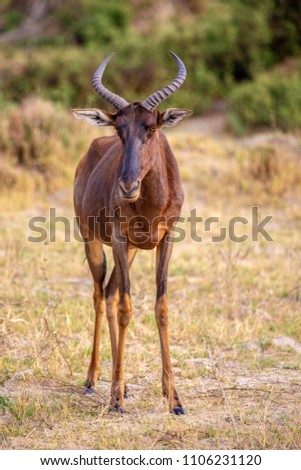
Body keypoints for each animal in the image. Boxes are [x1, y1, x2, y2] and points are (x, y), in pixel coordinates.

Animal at [71, 49, 191, 414]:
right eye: (119, 129)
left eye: (150, 128)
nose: (127, 187)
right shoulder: (120, 240)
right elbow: (126, 308)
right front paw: (115, 401)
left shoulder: (167, 240)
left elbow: (161, 307)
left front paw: (174, 400)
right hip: (94, 242)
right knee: (101, 296)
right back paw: (95, 381)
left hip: (135, 250)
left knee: (110, 294)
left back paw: (120, 385)